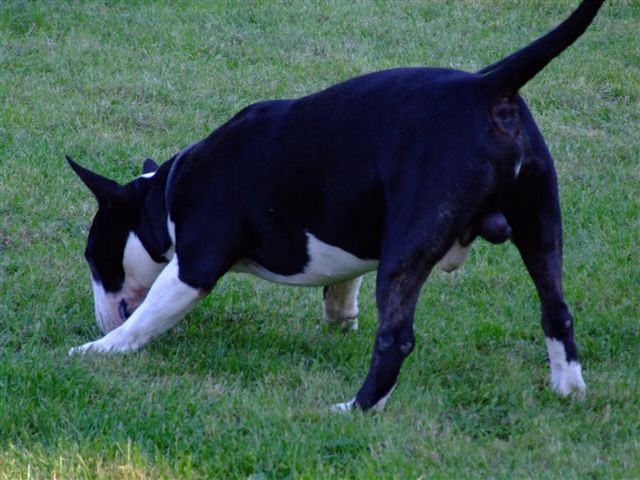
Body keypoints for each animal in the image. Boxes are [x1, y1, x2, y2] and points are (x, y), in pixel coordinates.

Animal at [67, 0, 604, 412]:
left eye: (95, 258)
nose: (96, 320)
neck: (169, 192)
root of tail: (486, 88)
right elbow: (343, 283)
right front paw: (339, 319)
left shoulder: (192, 268)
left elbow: (144, 318)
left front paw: (97, 348)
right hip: (540, 223)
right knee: (557, 310)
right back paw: (568, 389)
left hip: (410, 250)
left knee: (396, 337)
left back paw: (356, 408)